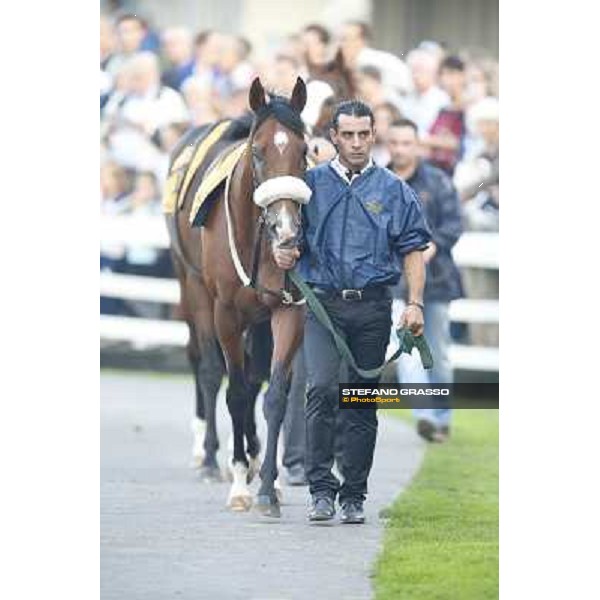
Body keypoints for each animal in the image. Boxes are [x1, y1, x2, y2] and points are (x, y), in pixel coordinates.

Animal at [168, 77, 310, 516]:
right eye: (259, 152)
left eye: (304, 151)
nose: (287, 231)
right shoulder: (226, 312)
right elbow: (236, 390)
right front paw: (239, 485)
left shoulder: (286, 308)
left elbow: (274, 392)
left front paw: (267, 485)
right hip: (192, 287)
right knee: (209, 367)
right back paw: (210, 456)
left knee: (252, 374)